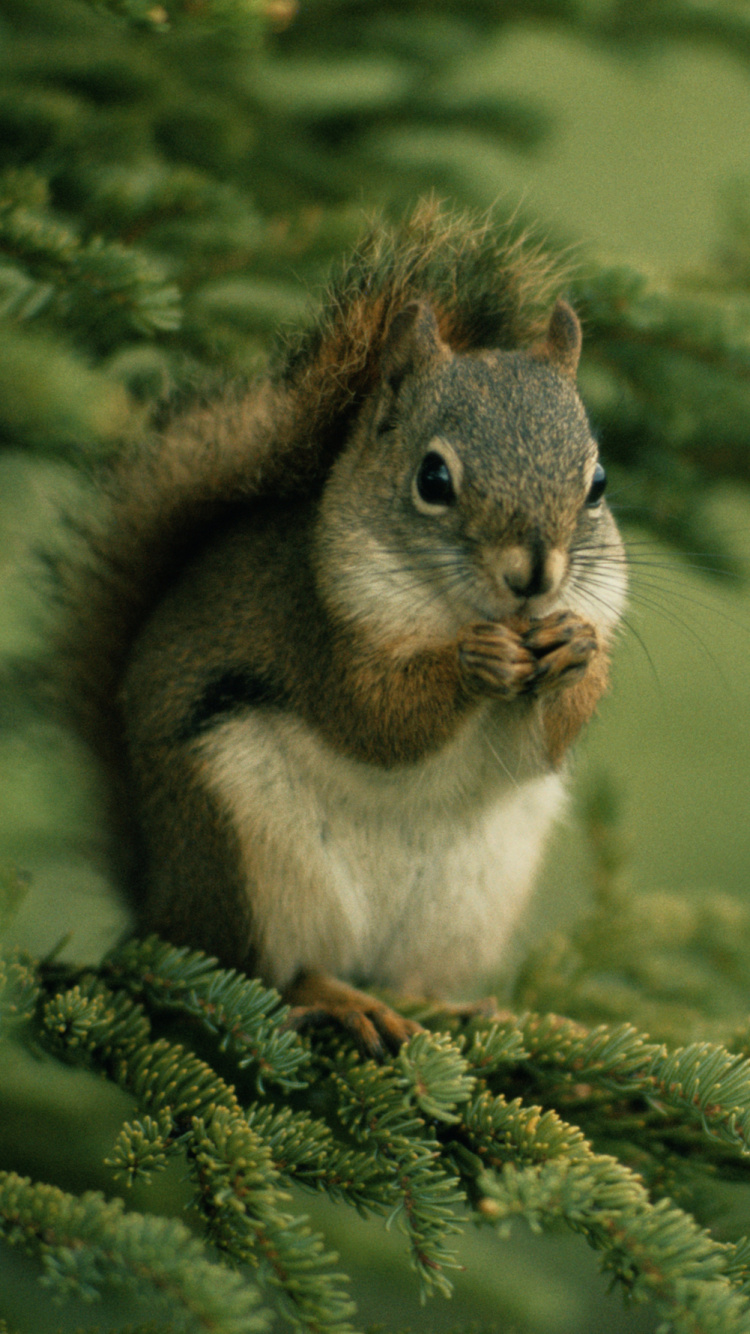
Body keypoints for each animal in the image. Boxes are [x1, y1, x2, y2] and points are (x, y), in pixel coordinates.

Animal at [50, 203, 626, 1052]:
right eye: (433, 478)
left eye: (598, 483)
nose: (534, 577)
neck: (460, 607)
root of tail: (161, 904)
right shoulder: (315, 632)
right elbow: (374, 719)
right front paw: (471, 661)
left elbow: (542, 745)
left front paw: (577, 651)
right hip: (247, 857)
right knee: (266, 972)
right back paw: (337, 998)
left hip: (470, 900)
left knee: (408, 978)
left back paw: (461, 1009)